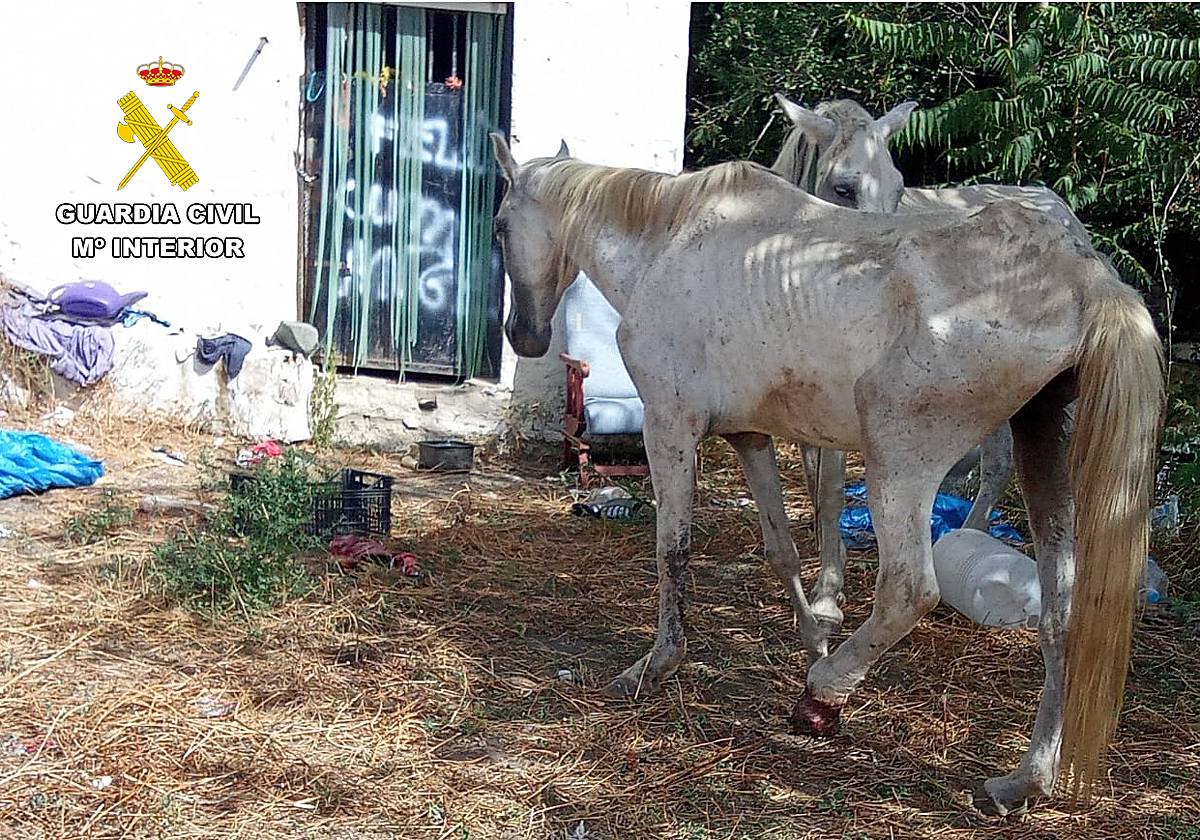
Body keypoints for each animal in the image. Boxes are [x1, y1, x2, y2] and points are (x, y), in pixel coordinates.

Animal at [770, 94, 1097, 637]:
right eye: (842, 188)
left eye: (899, 188)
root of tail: (1061, 210)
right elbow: (817, 487)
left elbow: (832, 490)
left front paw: (828, 597)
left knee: (999, 467)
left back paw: (966, 543)